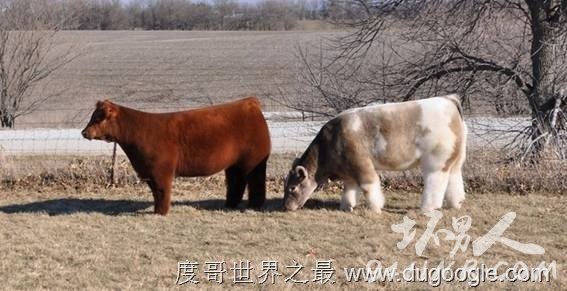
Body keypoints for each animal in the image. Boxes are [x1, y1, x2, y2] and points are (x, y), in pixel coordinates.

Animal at [81, 97, 272, 214]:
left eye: (98, 118)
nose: (84, 132)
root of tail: (250, 102)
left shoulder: (161, 170)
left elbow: (162, 191)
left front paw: (161, 213)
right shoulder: (149, 172)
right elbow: (155, 192)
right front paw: (158, 211)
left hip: (254, 161)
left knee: (255, 183)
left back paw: (255, 205)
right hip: (234, 164)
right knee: (236, 182)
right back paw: (230, 205)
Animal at [282, 94, 466, 213]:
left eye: (292, 187)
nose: (286, 206)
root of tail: (448, 99)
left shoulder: (361, 164)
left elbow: (369, 186)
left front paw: (376, 208)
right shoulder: (348, 171)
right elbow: (349, 189)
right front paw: (346, 206)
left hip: (436, 160)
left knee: (436, 181)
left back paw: (428, 208)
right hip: (455, 160)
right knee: (454, 179)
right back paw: (456, 203)